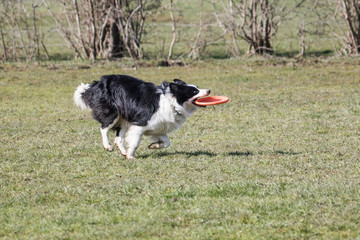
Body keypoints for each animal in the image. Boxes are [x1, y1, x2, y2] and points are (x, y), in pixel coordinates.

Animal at [73, 74, 211, 158]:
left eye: (197, 87)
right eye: (194, 91)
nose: (209, 90)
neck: (172, 102)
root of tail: (95, 84)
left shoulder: (159, 127)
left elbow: (167, 142)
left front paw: (154, 146)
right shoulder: (140, 124)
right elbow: (135, 142)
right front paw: (131, 156)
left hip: (125, 117)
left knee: (118, 138)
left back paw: (123, 151)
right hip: (114, 112)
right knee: (103, 128)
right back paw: (108, 146)